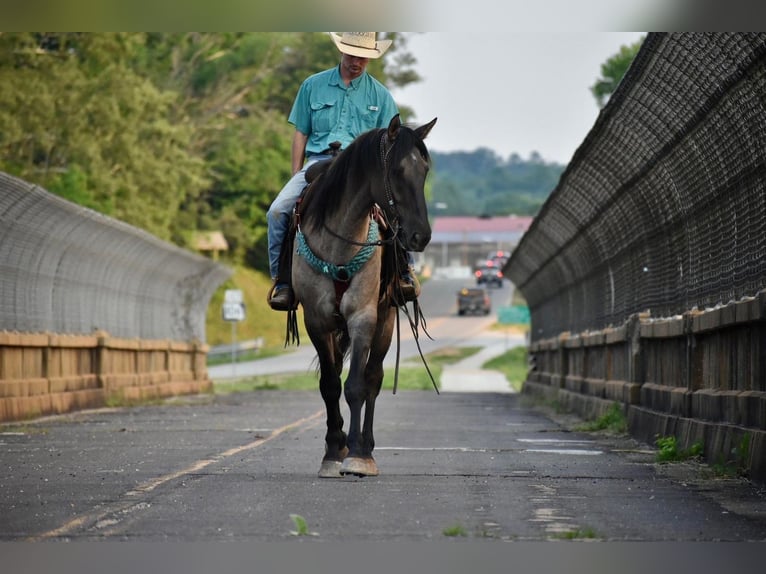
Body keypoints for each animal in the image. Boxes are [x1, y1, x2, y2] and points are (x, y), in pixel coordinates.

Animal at [290, 115, 436, 480]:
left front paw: (356, 455)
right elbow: (330, 384)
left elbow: (356, 384)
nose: (421, 236)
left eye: (425, 170)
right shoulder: (317, 320)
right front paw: (333, 451)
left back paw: (366, 448)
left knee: (373, 378)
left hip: (385, 320)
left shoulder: (363, 318)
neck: (340, 239)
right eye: (398, 170)